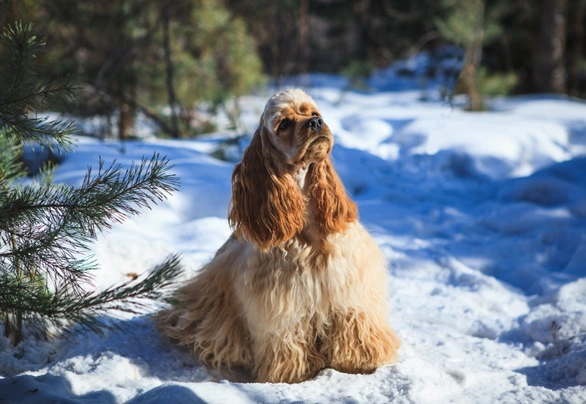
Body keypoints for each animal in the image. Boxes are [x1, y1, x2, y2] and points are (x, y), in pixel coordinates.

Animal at [155, 88, 400, 382]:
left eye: (314, 113)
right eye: (283, 124)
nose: (316, 123)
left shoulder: (350, 291)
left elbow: (354, 327)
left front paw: (361, 361)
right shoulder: (281, 306)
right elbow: (288, 339)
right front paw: (296, 373)